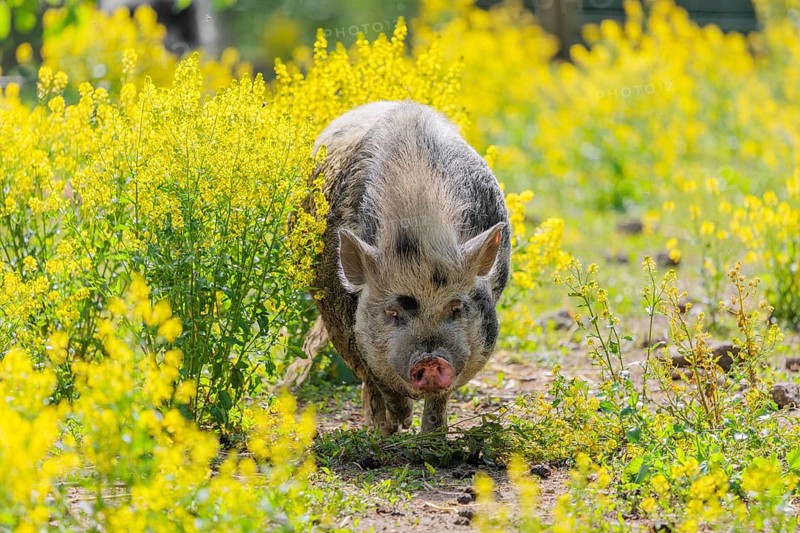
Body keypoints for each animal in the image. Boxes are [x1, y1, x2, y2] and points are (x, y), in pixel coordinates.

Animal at [308, 101, 511, 435]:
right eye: (392, 313)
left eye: (456, 307)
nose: (430, 361)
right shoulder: (348, 330)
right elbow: (381, 382)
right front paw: (399, 426)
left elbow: (441, 398)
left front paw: (433, 435)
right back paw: (377, 428)